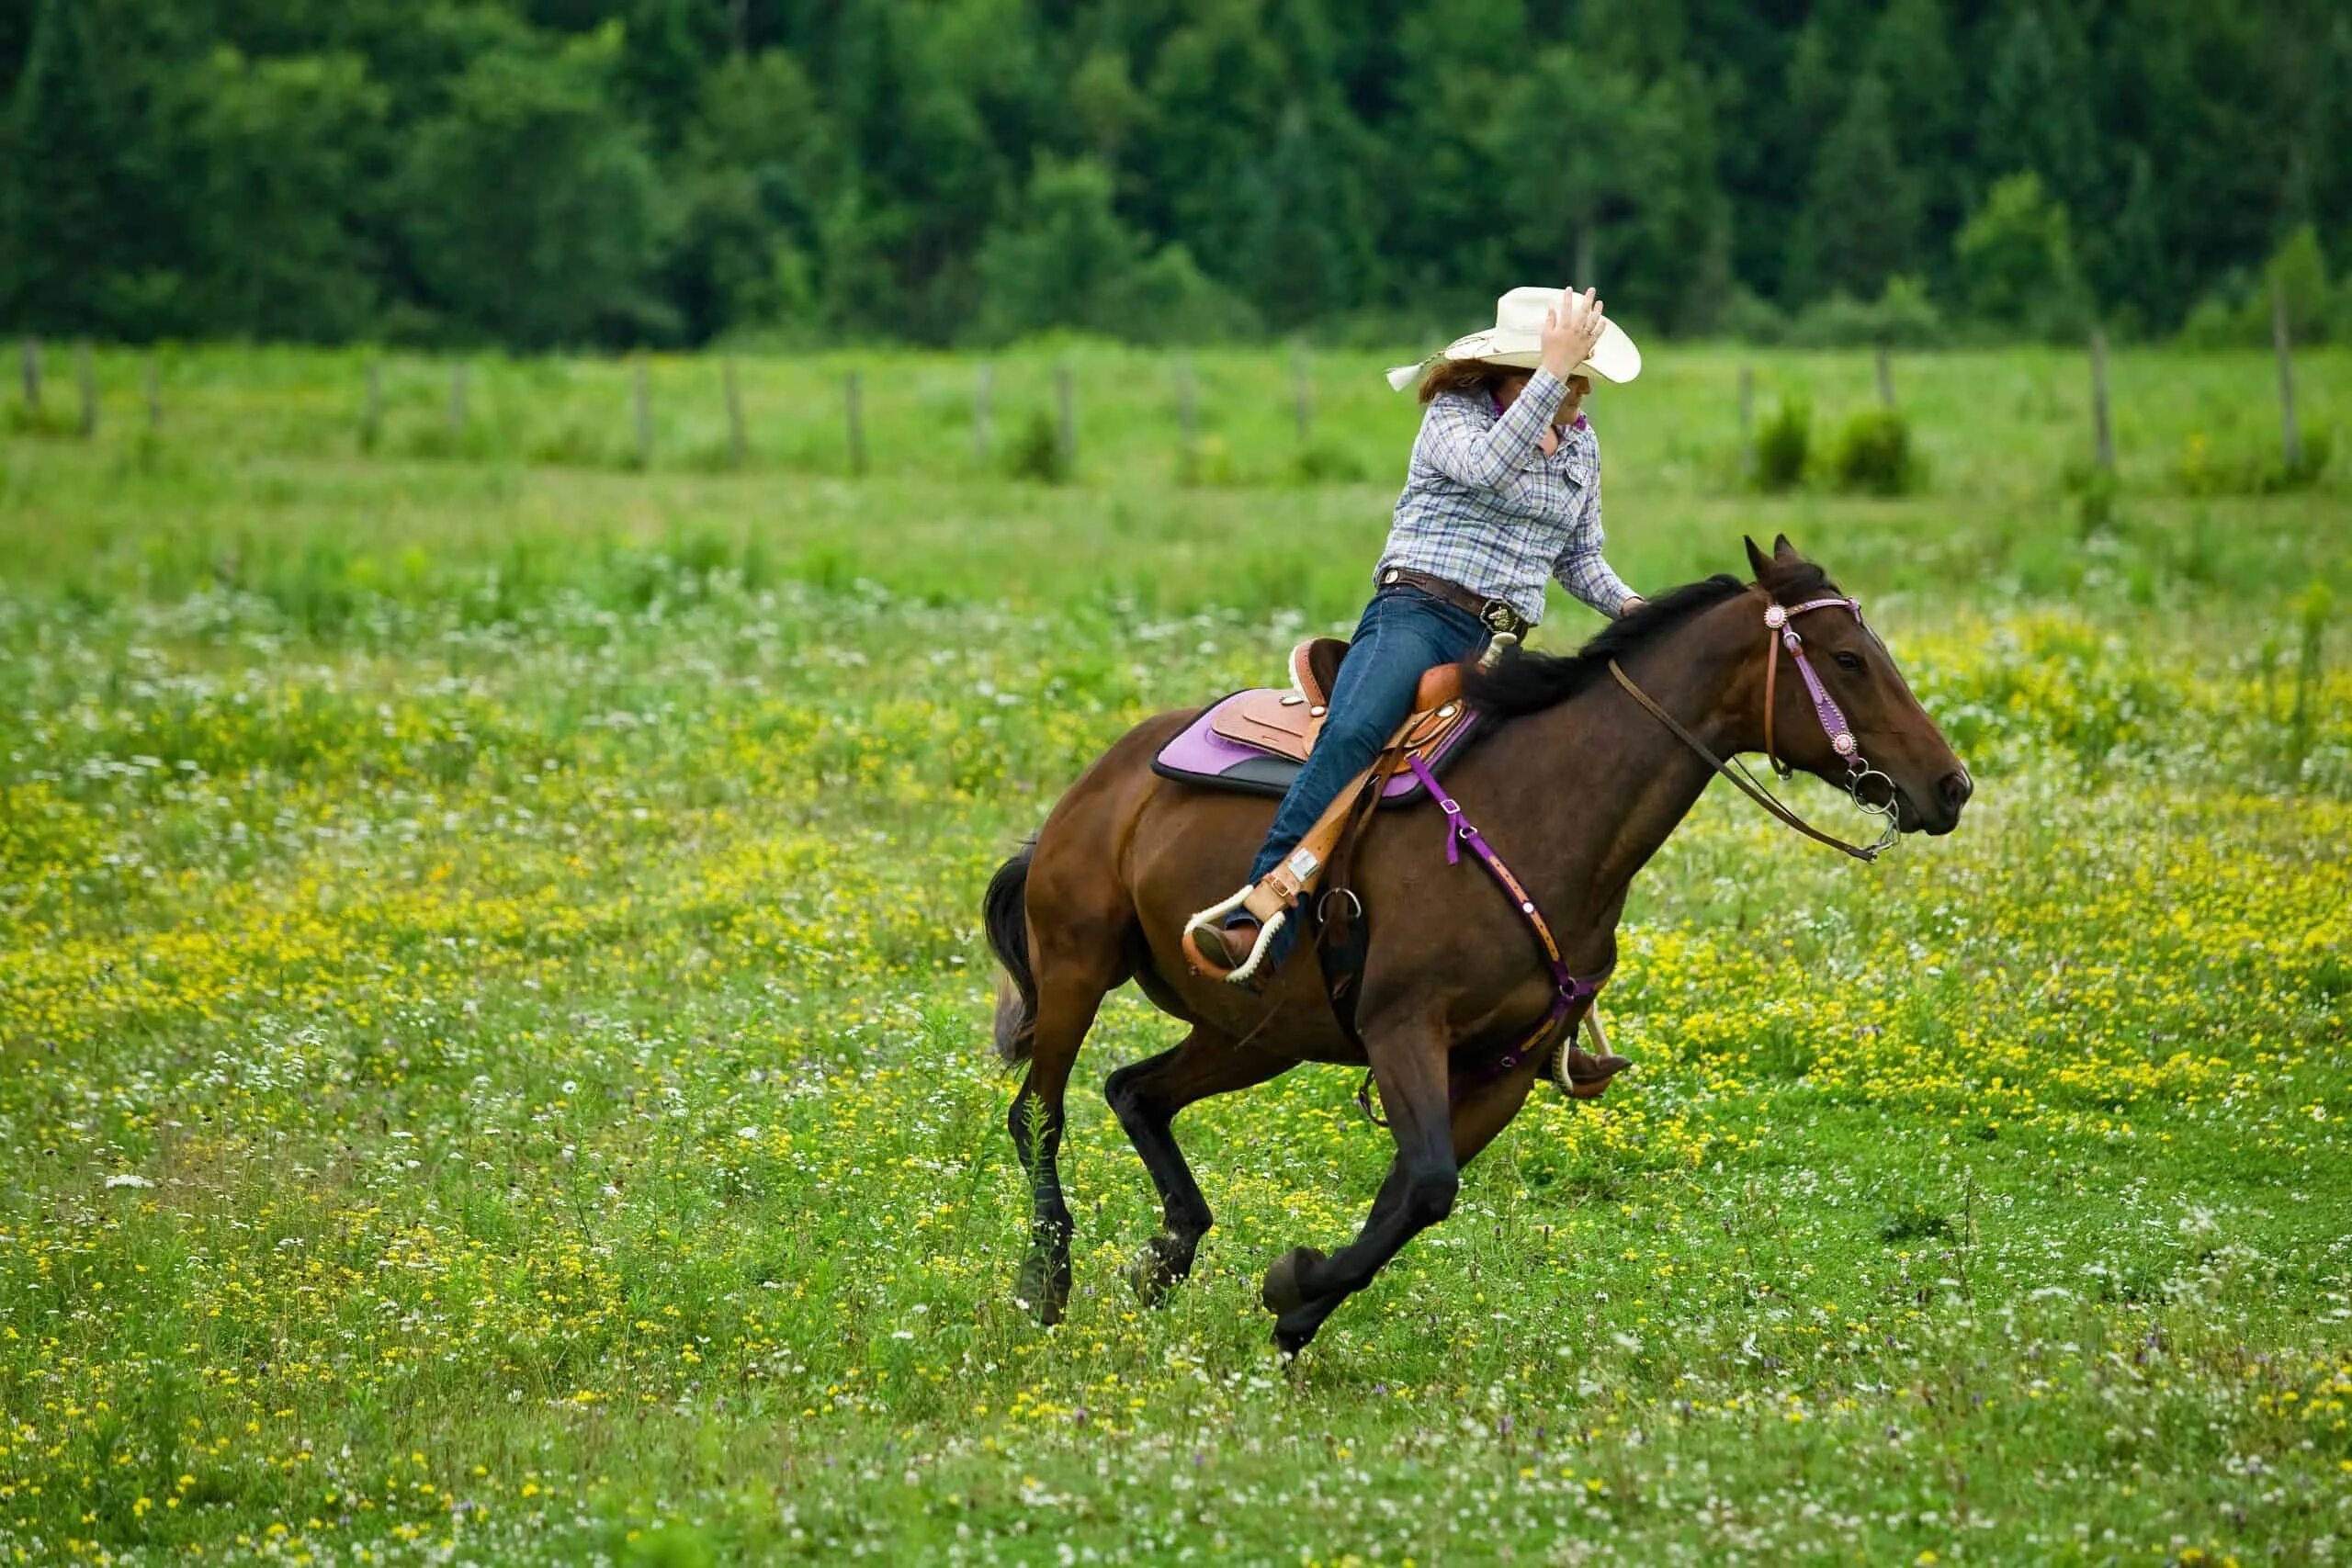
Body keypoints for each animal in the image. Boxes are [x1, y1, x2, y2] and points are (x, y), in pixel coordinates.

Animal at [973, 536, 1966, 1354]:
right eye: (1847, 659)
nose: (1949, 785)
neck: (1545, 807)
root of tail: (1104, 779)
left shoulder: (1507, 1066)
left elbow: (1409, 1196)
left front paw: (1296, 1308)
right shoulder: (1404, 1027)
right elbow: (1425, 1185)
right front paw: (1294, 1287)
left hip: (1257, 1033)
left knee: (1135, 1091)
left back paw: (1164, 1257)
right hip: (1079, 964)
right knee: (1041, 1113)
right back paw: (1044, 1283)